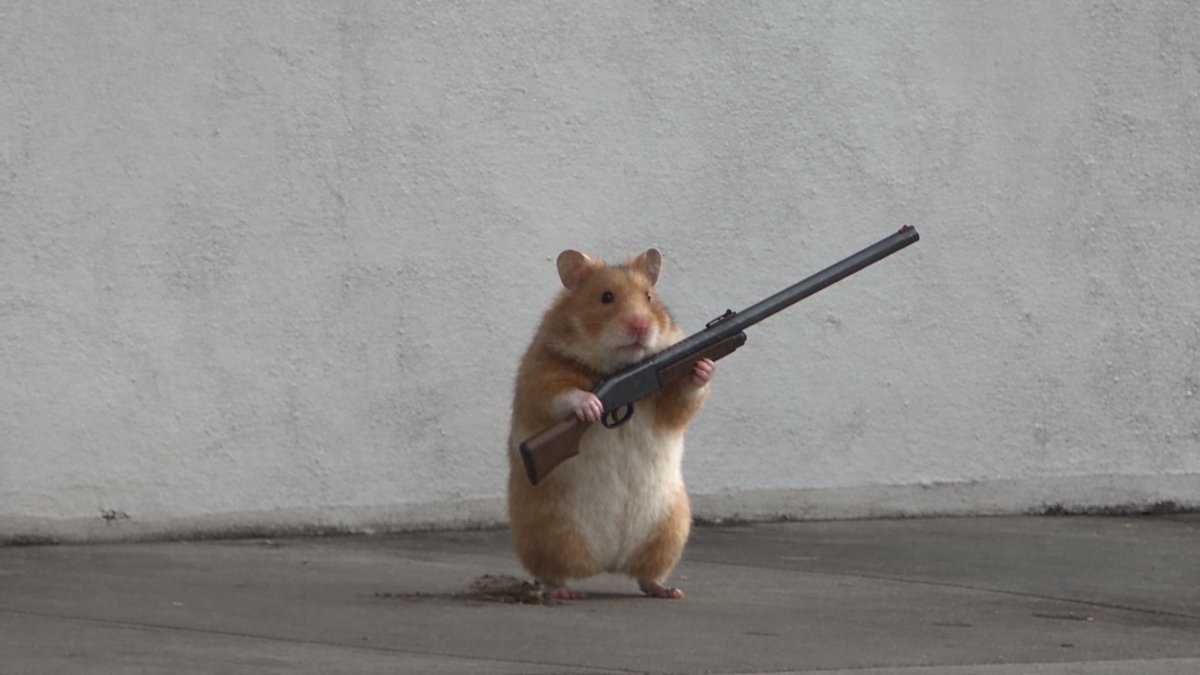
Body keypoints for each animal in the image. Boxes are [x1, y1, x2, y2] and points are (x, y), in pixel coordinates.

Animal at [507, 247, 715, 600]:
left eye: (648, 297)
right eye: (606, 297)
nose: (641, 325)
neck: (617, 367)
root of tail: (609, 561)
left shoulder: (667, 402)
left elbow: (687, 397)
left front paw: (704, 367)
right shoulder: (542, 374)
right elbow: (561, 393)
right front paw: (591, 406)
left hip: (669, 530)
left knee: (646, 575)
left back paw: (667, 590)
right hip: (550, 532)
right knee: (552, 573)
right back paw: (565, 592)